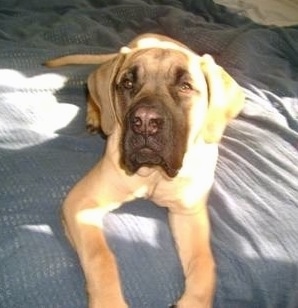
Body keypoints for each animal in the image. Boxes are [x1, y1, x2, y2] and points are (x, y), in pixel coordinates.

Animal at [46, 33, 246, 308]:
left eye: (185, 86)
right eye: (128, 83)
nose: (145, 122)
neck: (153, 174)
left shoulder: (189, 213)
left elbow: (205, 262)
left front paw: (193, 301)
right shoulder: (81, 202)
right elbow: (100, 256)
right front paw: (109, 302)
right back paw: (95, 116)